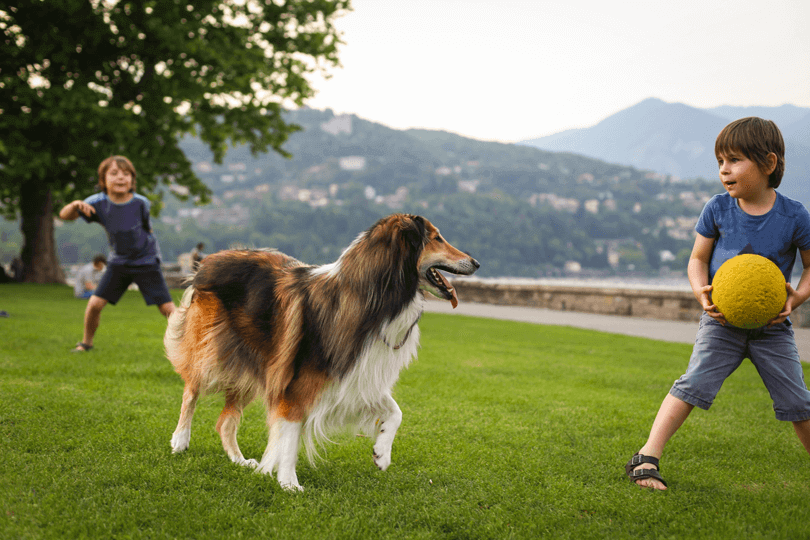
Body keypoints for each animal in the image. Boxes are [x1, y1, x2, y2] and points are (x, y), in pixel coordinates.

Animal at [166, 213, 480, 492]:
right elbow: (290, 437)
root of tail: (211, 259)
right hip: (212, 355)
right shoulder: (295, 386)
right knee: (190, 391)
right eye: (436, 238)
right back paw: (180, 440)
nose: (477, 262)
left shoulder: (355, 375)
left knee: (225, 422)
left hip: (253, 367)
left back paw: (240, 460)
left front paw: (381, 453)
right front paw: (289, 483)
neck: (374, 298)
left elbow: (396, 411)